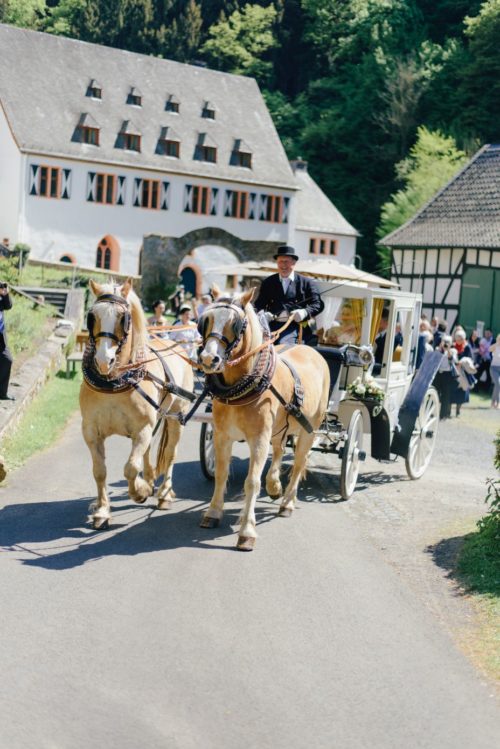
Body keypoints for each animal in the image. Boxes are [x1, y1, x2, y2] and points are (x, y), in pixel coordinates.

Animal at [79, 278, 193, 528]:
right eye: (92, 316)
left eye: (123, 318)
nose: (104, 360)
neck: (114, 382)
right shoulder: (91, 430)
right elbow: (99, 471)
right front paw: (102, 511)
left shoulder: (142, 428)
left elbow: (131, 468)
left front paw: (139, 491)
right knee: (149, 451)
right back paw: (150, 480)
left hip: (175, 417)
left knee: (170, 454)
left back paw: (163, 494)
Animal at [197, 286, 330, 548]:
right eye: (206, 320)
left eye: (236, 324)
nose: (208, 359)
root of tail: (311, 350)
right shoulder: (221, 435)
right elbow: (221, 474)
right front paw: (213, 513)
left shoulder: (258, 438)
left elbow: (252, 481)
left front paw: (247, 531)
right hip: (280, 427)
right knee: (279, 450)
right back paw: (275, 484)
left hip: (309, 428)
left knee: (299, 462)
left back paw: (287, 502)